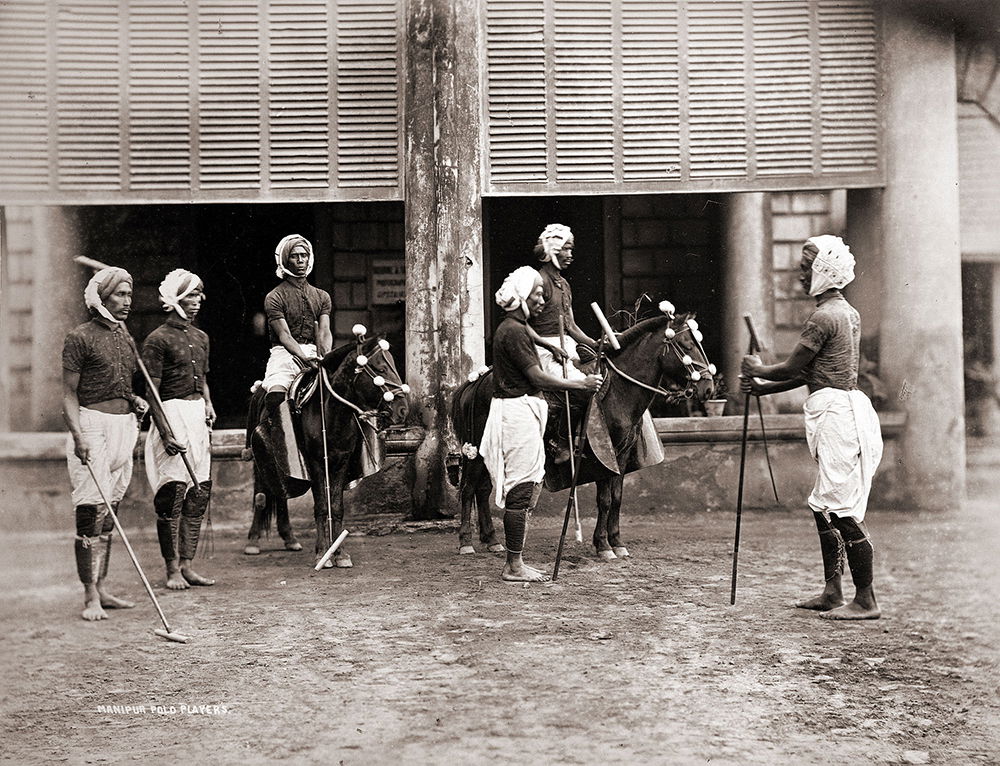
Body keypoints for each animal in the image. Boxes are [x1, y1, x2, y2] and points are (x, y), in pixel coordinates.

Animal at [245, 340, 406, 568]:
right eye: (381, 369)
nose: (403, 409)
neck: (332, 413)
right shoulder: (315, 463)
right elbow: (321, 507)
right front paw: (322, 553)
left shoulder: (341, 461)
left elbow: (336, 507)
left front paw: (340, 553)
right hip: (261, 460)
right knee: (262, 494)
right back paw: (253, 540)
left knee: (281, 494)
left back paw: (289, 538)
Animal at [450, 316, 716, 560]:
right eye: (686, 345)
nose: (708, 388)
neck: (619, 389)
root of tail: (476, 381)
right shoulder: (607, 454)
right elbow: (605, 499)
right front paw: (604, 545)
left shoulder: (622, 453)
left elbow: (617, 498)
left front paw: (617, 541)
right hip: (476, 449)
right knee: (468, 489)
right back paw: (465, 542)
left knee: (482, 489)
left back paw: (492, 539)